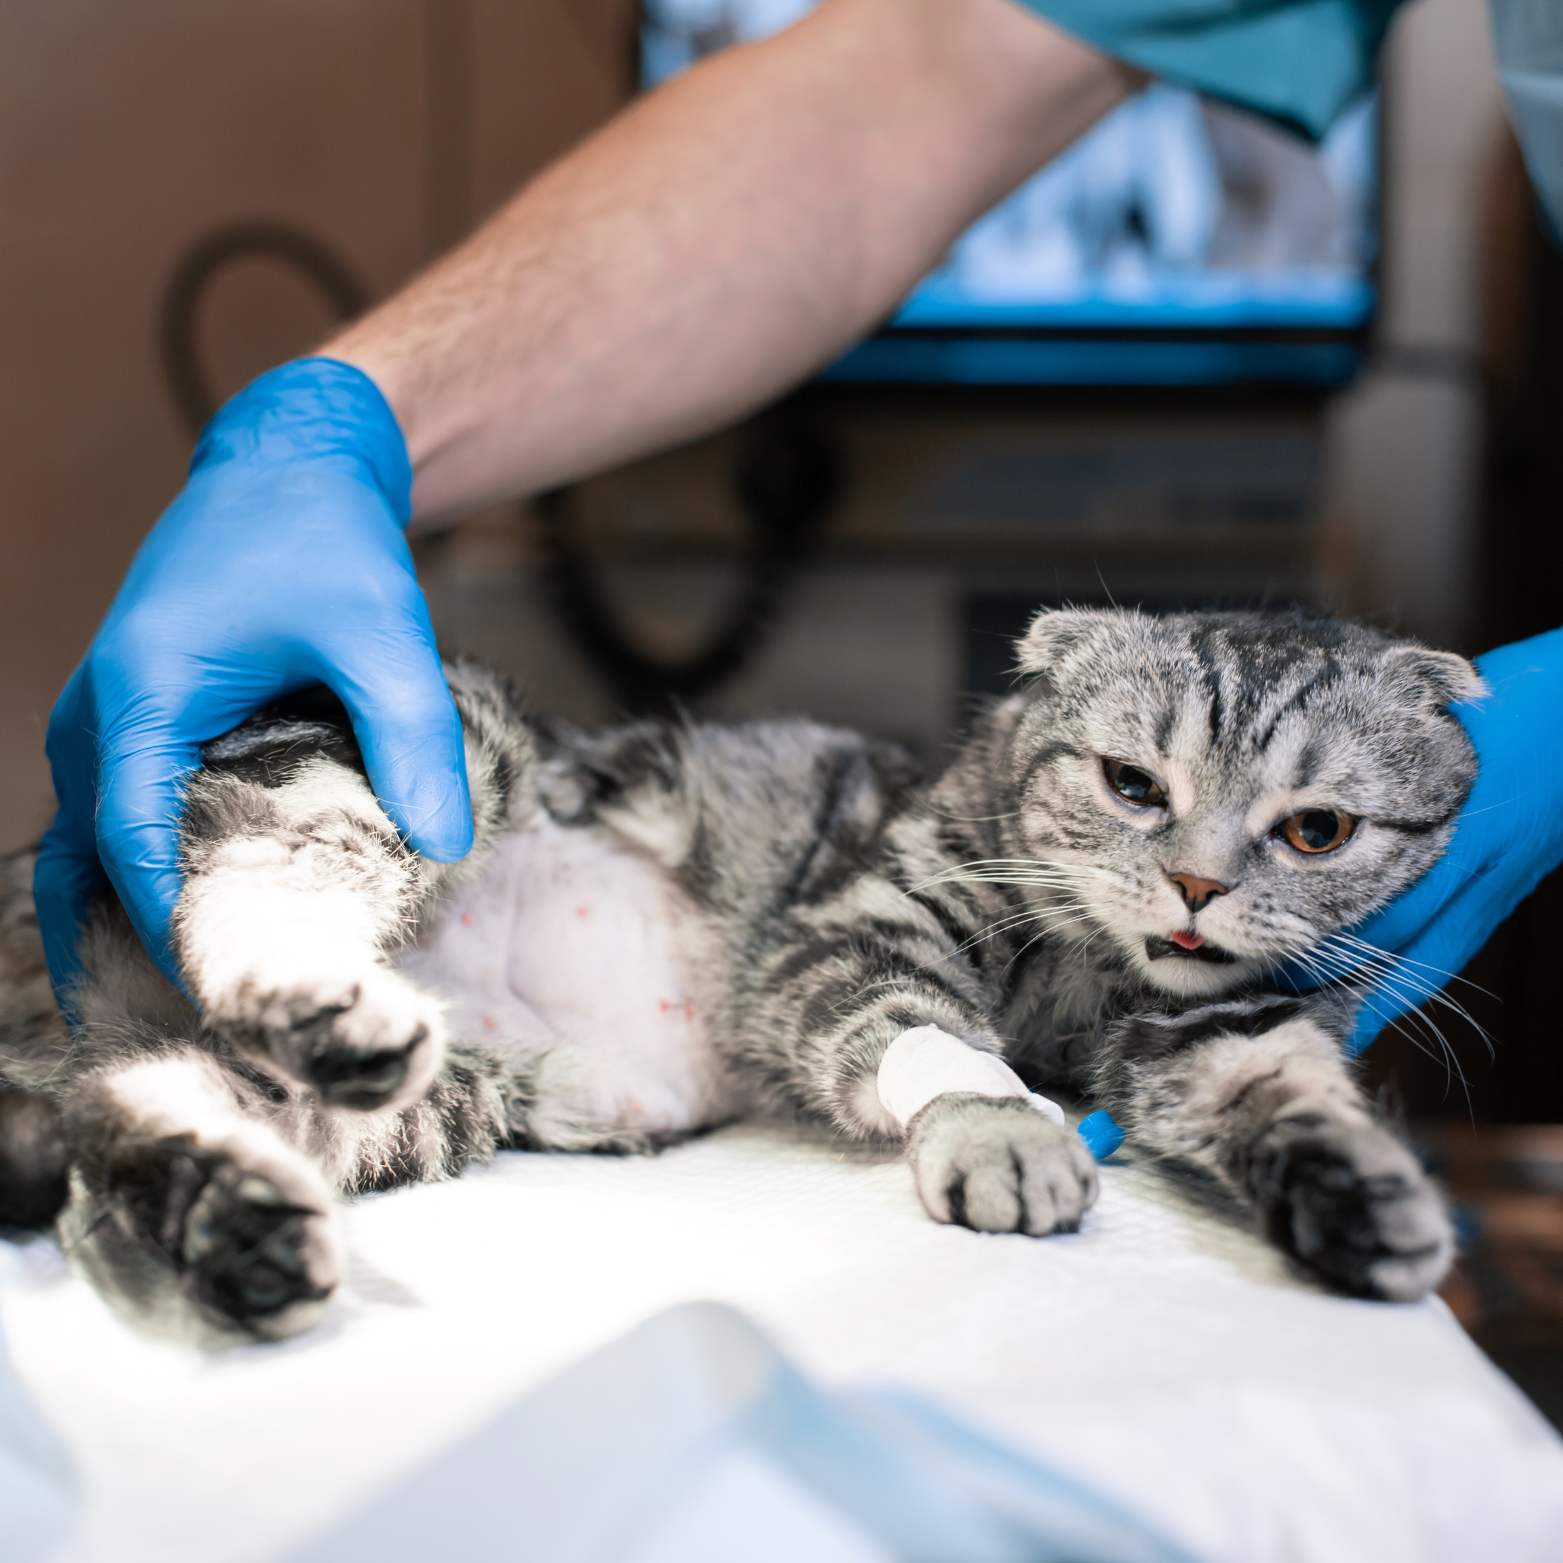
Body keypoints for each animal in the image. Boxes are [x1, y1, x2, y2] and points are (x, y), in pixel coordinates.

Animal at [0, 608, 1480, 1344]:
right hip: (422, 744)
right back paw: (324, 993)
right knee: (257, 882)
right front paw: (998, 1125)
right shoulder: (859, 919)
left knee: (142, 1108)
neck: (1098, 966)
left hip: (346, 1108)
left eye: (1316, 830)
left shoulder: (1224, 1025)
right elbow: (926, 1028)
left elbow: (1285, 1092)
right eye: (1130, 784)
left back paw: (252, 1229)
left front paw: (1361, 1198)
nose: (1195, 890)